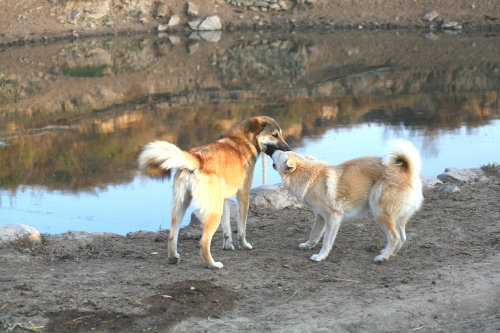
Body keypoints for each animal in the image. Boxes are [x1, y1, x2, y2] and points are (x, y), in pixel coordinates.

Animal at [139, 115, 292, 268]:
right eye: (275, 135)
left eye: (280, 134)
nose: (289, 149)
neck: (243, 141)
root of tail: (197, 159)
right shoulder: (243, 195)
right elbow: (241, 228)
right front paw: (244, 245)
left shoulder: (224, 200)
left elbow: (227, 228)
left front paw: (228, 246)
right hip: (214, 212)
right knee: (203, 242)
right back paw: (213, 264)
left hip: (181, 206)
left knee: (171, 236)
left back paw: (173, 258)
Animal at [272, 138, 424, 262]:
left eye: (279, 155)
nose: (272, 149)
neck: (309, 175)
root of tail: (407, 171)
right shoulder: (320, 216)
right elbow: (314, 234)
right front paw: (308, 245)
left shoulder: (333, 217)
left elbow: (327, 241)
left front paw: (321, 256)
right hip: (398, 217)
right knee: (402, 238)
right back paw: (390, 253)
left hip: (380, 212)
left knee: (394, 238)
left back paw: (382, 257)